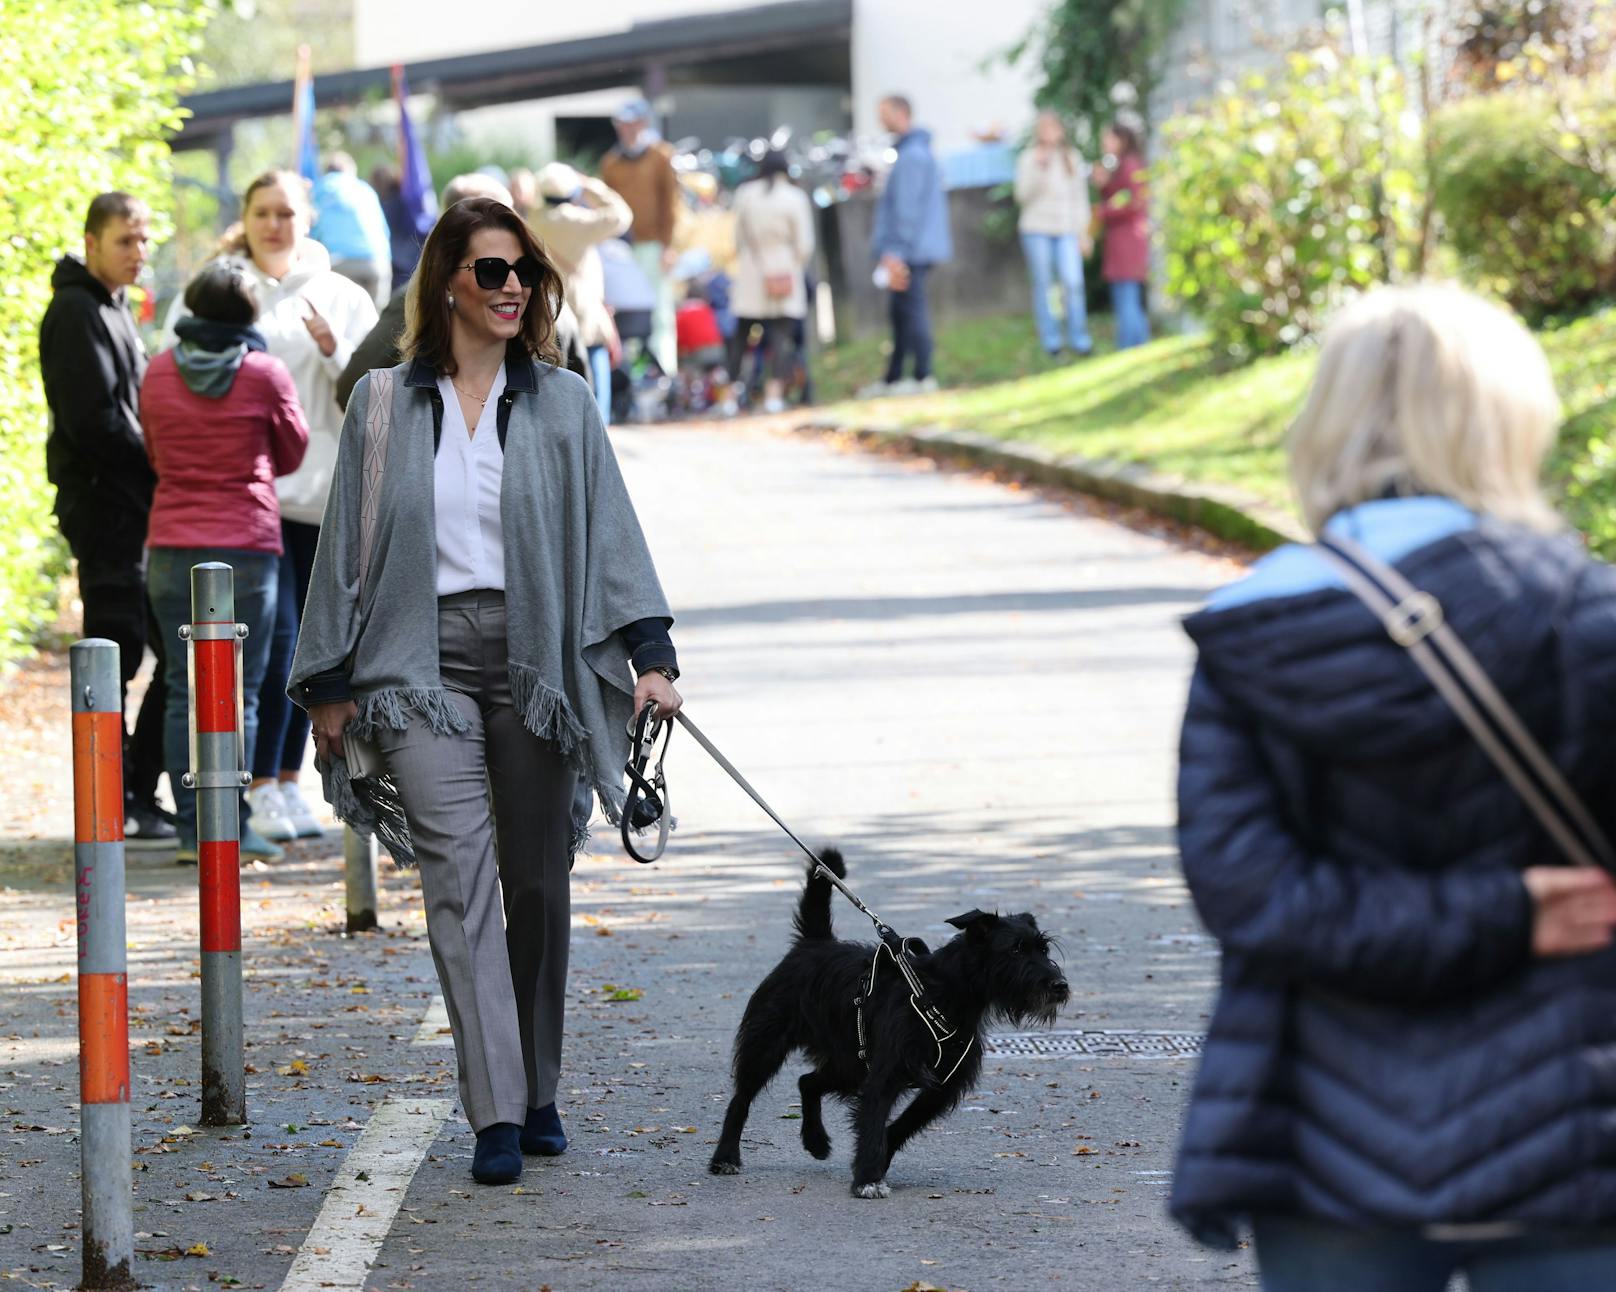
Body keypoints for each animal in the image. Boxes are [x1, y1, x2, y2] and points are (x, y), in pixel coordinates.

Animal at [711, 846, 1066, 1201]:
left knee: (807, 1082)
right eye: (1016, 950)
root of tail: (812, 943)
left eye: (1043, 948)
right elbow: (873, 1120)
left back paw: (816, 1140)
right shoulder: (886, 1074)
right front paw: (868, 1179)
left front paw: (876, 1163)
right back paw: (725, 1156)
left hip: (850, 1066)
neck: (943, 993)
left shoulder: (940, 1088)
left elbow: (898, 1126)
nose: (1059, 985)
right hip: (768, 1046)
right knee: (741, 1099)